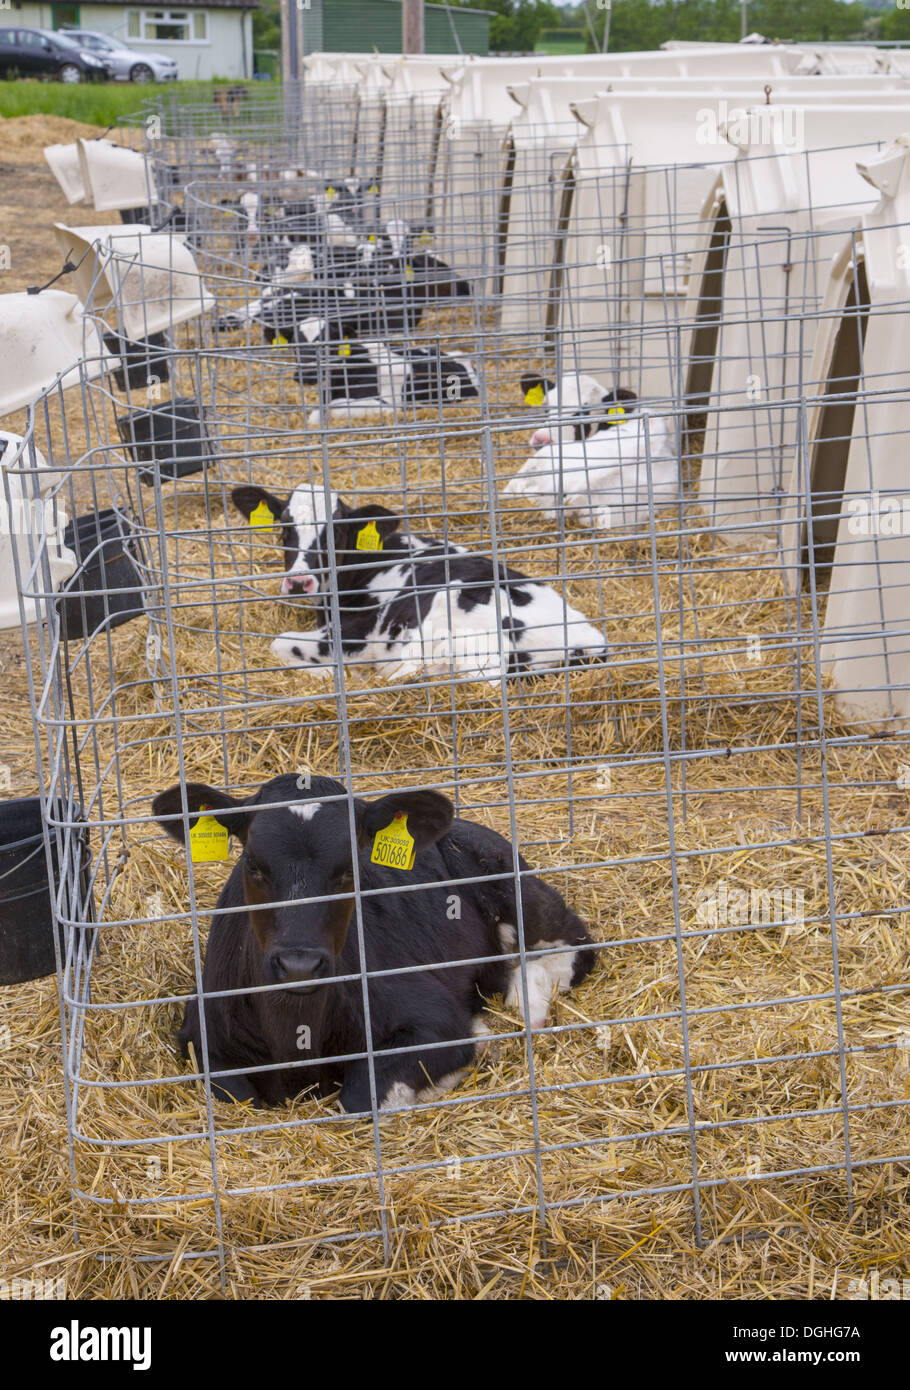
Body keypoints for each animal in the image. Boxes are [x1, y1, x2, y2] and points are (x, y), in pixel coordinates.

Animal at [152, 774, 596, 1110]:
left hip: (517, 892)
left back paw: (526, 1001)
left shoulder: (435, 1019)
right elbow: (236, 1093)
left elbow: (360, 1095)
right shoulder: (198, 1032)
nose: (299, 965)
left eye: (351, 868)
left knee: (575, 944)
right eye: (252, 863)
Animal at [230, 485, 609, 683]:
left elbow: (280, 644)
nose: (299, 582)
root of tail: (587, 642)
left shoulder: (358, 632)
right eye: (284, 527)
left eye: (336, 533)